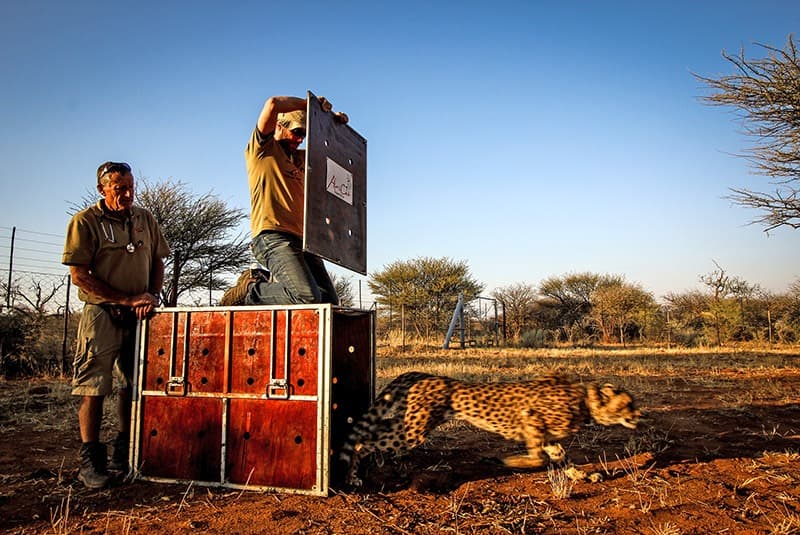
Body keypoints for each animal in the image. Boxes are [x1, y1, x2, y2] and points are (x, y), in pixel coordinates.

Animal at [339, 371, 640, 487]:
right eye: (628, 403)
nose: (639, 414)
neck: (585, 399)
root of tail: (423, 375)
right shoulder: (531, 419)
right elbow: (538, 458)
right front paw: (510, 461)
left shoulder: (548, 437)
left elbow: (561, 456)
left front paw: (581, 475)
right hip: (413, 430)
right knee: (363, 441)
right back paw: (352, 475)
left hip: (409, 422)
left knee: (368, 432)